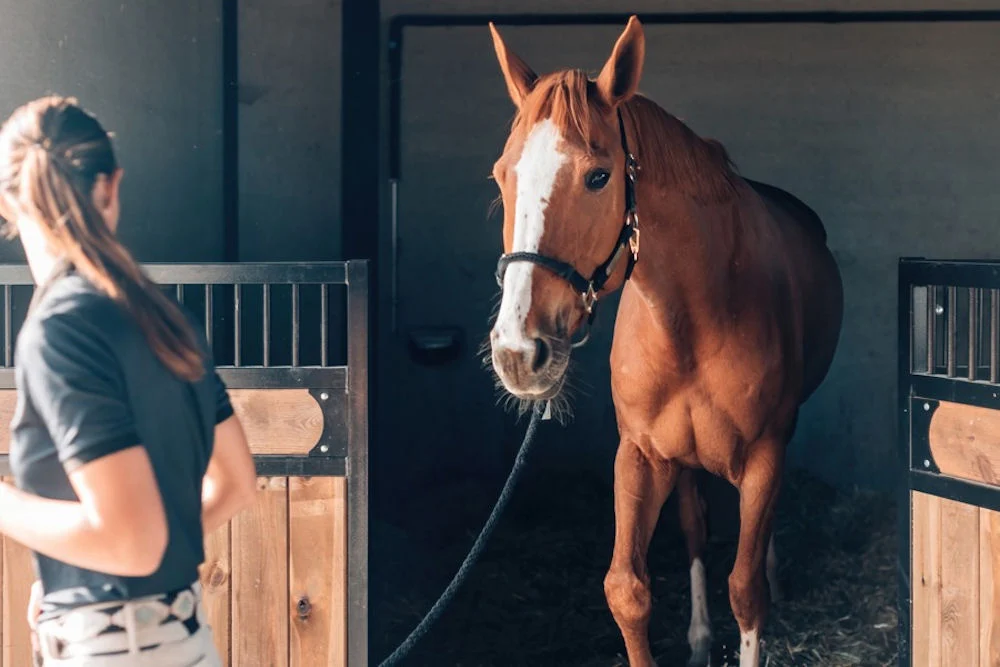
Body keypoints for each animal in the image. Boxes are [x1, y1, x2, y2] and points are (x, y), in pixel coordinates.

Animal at [485, 16, 844, 667]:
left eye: (598, 176)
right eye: (503, 176)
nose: (519, 354)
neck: (693, 323)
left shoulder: (764, 456)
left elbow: (746, 590)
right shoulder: (641, 455)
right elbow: (627, 589)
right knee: (696, 525)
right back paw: (699, 636)